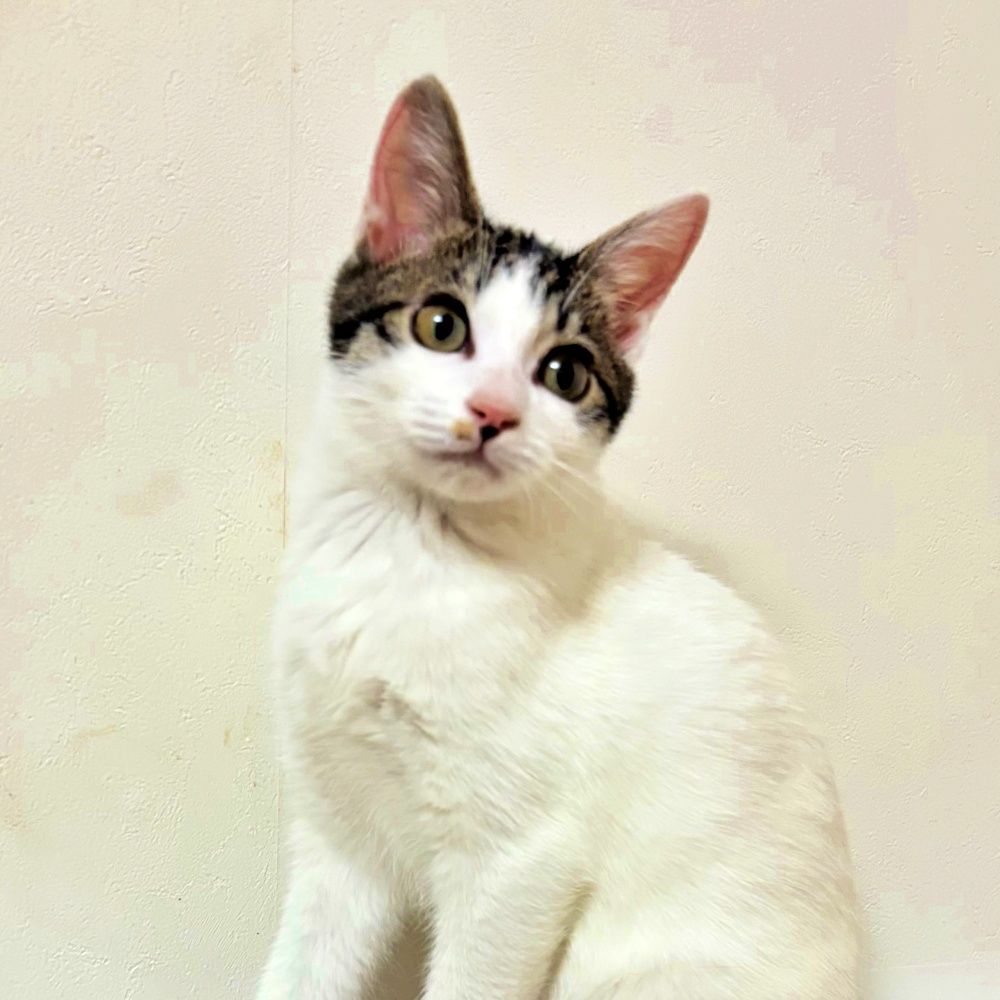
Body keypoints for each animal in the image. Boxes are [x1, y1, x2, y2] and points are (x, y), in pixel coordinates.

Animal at [257, 77, 861, 1000]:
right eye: (441, 324)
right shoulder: (339, 832)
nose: (493, 412)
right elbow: (302, 967)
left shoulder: (519, 863)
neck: (408, 552)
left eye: (564, 373)